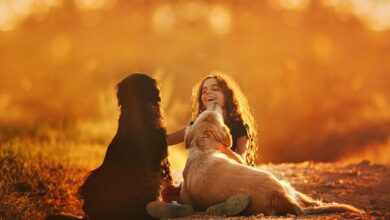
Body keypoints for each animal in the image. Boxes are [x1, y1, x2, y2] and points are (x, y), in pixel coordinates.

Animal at [181, 104, 364, 216]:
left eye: (206, 114)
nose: (214, 103)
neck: (203, 146)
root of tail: (277, 193)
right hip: (285, 184)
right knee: (312, 202)